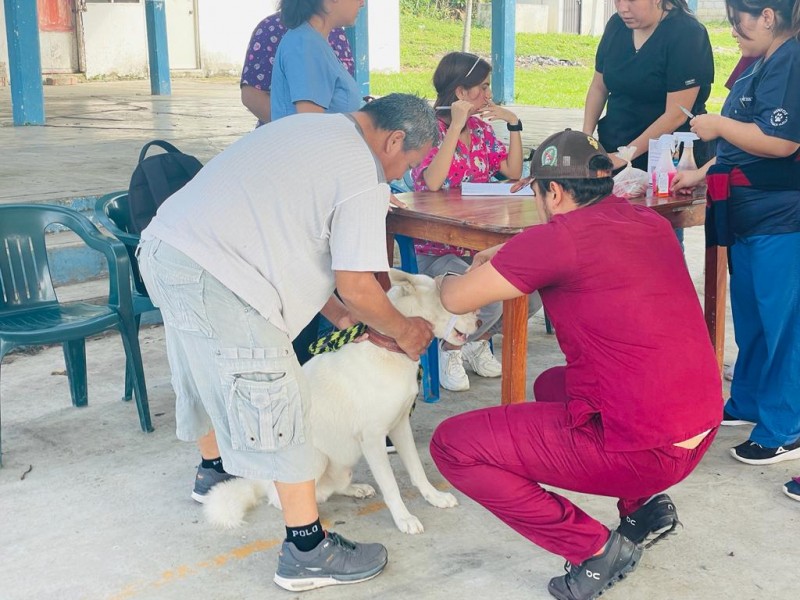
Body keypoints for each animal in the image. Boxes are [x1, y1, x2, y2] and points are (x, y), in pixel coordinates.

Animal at [203, 270, 478, 536]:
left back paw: (355, 489)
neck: (389, 350)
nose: (479, 321)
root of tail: (262, 478)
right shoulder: (373, 439)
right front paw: (403, 519)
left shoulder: (400, 426)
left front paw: (435, 497)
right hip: (314, 459)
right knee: (282, 497)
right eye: (448, 300)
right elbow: (390, 485)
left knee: (333, 487)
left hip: (344, 464)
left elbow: (417, 470)